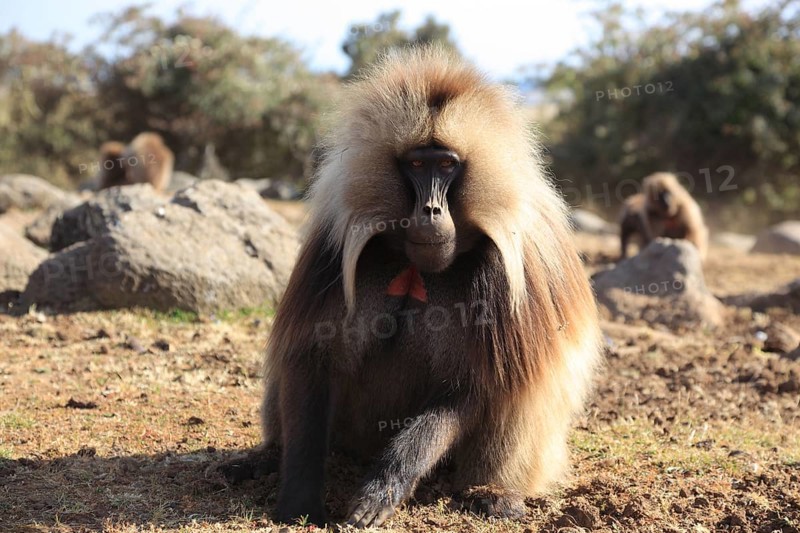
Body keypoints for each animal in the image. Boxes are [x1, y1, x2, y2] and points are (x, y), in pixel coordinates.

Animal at [219, 47, 603, 528]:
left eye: (448, 165)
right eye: (417, 164)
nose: (431, 210)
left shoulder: (505, 275)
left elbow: (476, 387)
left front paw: (384, 487)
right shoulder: (332, 249)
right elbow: (310, 360)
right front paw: (299, 499)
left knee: (519, 389)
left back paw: (494, 494)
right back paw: (265, 459)